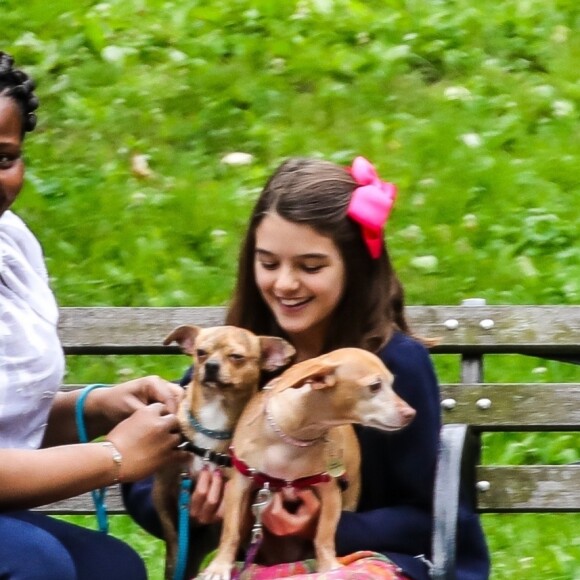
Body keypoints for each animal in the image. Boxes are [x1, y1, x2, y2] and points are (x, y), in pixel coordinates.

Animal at [153, 324, 294, 580]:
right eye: (200, 352)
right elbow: (174, 542)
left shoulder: (236, 492)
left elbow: (231, 531)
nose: (211, 365)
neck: (214, 418)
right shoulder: (164, 491)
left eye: (236, 357)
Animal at [197, 346, 414, 576]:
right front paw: (219, 566)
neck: (293, 438)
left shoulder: (330, 492)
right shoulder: (238, 487)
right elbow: (230, 531)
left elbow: (324, 534)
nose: (411, 413)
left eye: (392, 383)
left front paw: (328, 566)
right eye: (375, 386)